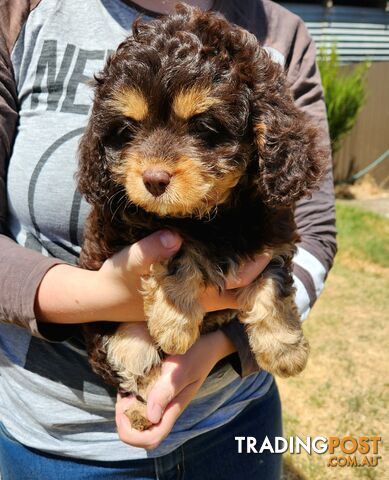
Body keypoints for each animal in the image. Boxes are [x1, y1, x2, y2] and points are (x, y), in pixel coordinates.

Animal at [76, 2, 324, 432]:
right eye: (127, 129)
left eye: (204, 126)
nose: (153, 179)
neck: (214, 215)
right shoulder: (134, 226)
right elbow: (179, 251)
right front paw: (175, 323)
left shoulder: (274, 235)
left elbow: (274, 283)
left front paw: (284, 348)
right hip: (120, 341)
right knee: (133, 367)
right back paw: (143, 409)